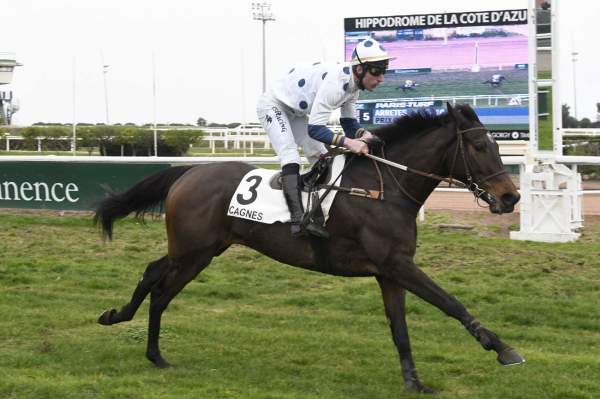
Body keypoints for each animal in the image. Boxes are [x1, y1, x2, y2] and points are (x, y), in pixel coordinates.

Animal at [96, 104, 524, 394]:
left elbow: (400, 329)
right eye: (478, 145)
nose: (511, 197)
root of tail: (188, 172)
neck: (383, 188)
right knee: (161, 290)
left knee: (153, 273)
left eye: (494, 144)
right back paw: (150, 349)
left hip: (200, 248)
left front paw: (414, 383)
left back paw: (122, 321)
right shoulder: (398, 264)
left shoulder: (389, 273)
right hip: (193, 253)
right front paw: (503, 349)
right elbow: (450, 302)